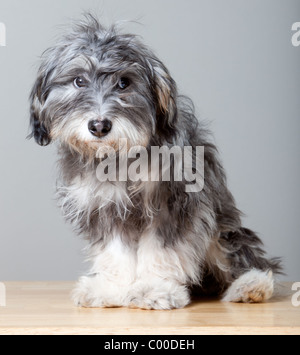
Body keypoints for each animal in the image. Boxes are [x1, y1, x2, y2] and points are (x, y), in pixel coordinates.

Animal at [28, 14, 282, 308]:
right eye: (79, 80)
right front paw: (112, 289)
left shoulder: (172, 203)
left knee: (244, 255)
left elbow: (161, 249)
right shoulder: (106, 207)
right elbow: (115, 252)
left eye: (124, 83)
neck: (120, 157)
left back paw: (251, 285)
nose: (99, 126)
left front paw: (154, 288)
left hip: (222, 228)